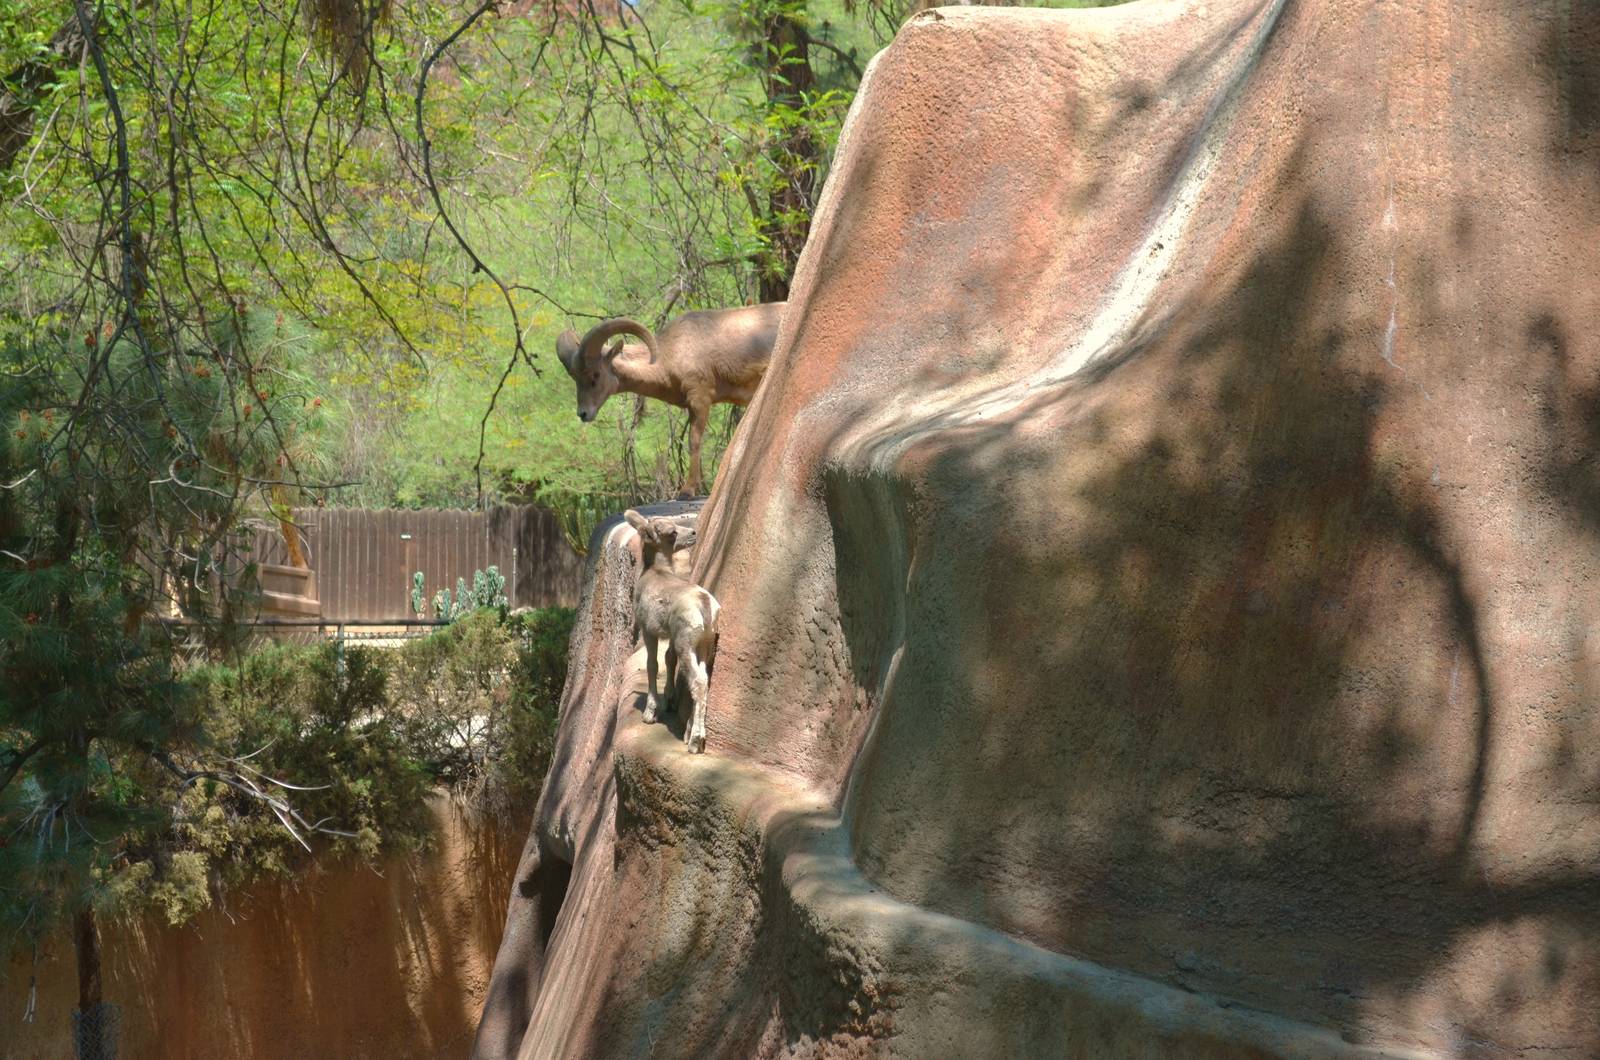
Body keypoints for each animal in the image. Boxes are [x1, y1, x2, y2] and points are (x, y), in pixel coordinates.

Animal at [557, 302, 785, 497]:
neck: (671, 354)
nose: (583, 413)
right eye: (575, 377)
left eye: (595, 375)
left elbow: (694, 441)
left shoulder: (700, 397)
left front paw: (688, 490)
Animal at [624, 510, 720, 754]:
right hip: (704, 645)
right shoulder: (669, 636)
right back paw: (691, 734)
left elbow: (652, 664)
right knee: (704, 680)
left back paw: (695, 742)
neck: (655, 572)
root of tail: (705, 605)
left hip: (686, 644)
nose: (693, 532)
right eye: (672, 532)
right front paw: (669, 699)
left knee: (697, 682)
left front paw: (650, 713)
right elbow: (668, 659)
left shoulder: (649, 630)